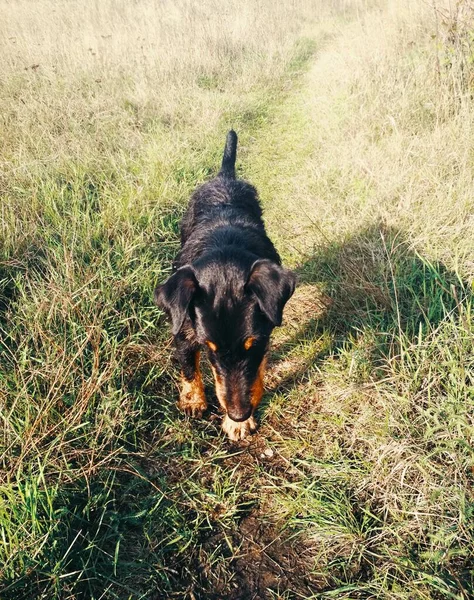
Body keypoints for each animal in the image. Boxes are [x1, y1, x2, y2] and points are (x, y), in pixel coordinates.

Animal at [156, 131, 294, 440]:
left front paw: (239, 424)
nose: (238, 413)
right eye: (210, 347)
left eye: (253, 344)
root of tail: (224, 176)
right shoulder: (183, 328)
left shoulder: (265, 333)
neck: (224, 245)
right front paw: (194, 400)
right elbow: (188, 366)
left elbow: (255, 372)